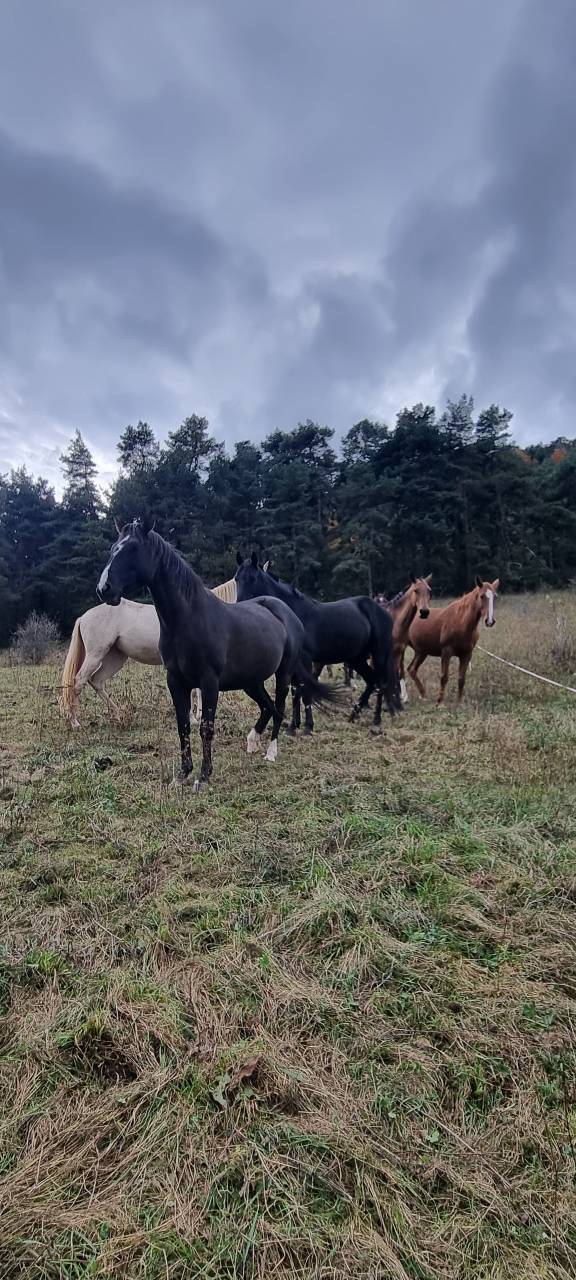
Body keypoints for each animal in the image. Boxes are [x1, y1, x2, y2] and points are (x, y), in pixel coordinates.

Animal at [60, 577, 237, 728]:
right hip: (95, 656)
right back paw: (75, 722)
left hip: (115, 658)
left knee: (96, 681)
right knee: (79, 681)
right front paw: (194, 719)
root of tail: (83, 617)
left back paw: (118, 714)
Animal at [96, 519, 341, 788]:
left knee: (279, 707)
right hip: (251, 682)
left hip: (283, 675)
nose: (104, 589)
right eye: (113, 548)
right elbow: (183, 725)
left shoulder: (209, 683)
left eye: (133, 549)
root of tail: (285, 612)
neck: (189, 619)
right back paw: (253, 741)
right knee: (267, 707)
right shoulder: (175, 681)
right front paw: (183, 774)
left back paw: (271, 752)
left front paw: (204, 776)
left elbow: (206, 727)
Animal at [234, 553, 399, 734]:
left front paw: (307, 727)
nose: (240, 605)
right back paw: (354, 715)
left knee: (380, 682)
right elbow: (295, 691)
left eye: (253, 578)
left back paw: (376, 722)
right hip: (357, 658)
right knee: (371, 680)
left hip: (378, 653)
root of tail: (384, 611)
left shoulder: (306, 660)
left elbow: (305, 691)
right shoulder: (295, 663)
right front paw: (293, 726)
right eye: (236, 579)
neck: (294, 614)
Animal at [406, 576, 499, 704]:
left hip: (421, 652)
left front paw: (459, 702)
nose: (489, 621)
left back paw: (423, 695)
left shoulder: (466, 654)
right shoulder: (446, 652)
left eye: (495, 596)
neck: (460, 622)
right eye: (481, 596)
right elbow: (444, 677)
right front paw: (439, 702)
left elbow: (461, 678)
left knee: (411, 670)